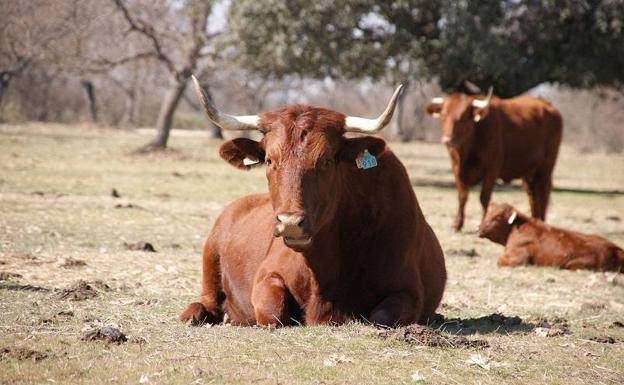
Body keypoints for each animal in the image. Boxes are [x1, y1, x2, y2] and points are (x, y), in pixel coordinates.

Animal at [178, 76, 446, 326]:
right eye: (269, 160)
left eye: (326, 161)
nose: (290, 223)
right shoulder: (266, 275)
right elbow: (273, 313)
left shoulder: (408, 292)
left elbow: (381, 317)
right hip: (210, 257)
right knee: (207, 301)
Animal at [426, 88, 564, 230]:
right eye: (443, 114)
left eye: (464, 117)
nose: (448, 140)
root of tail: (548, 105)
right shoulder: (456, 169)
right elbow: (462, 196)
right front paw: (457, 223)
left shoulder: (491, 169)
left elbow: (484, 197)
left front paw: (483, 223)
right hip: (529, 171)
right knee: (532, 195)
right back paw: (535, 220)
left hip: (546, 167)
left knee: (543, 192)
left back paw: (542, 222)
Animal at [480, 201, 620, 270]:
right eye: (487, 213)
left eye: (498, 217)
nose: (480, 228)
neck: (515, 229)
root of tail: (617, 250)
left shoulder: (518, 258)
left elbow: (499, 261)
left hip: (574, 264)